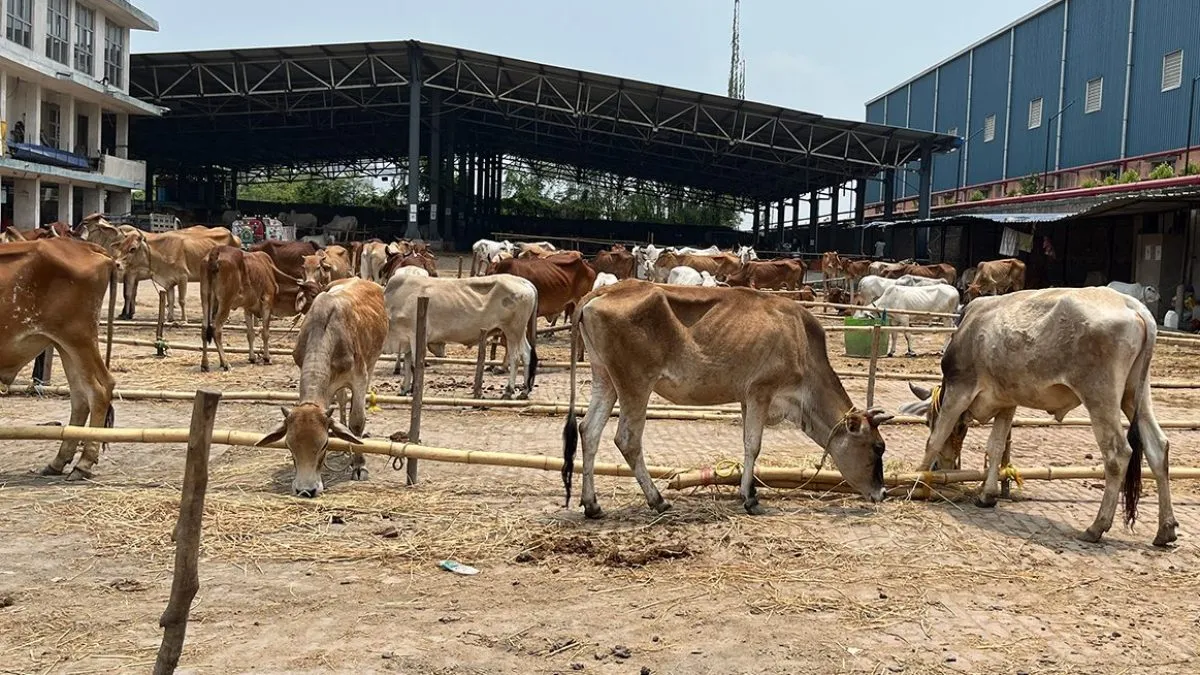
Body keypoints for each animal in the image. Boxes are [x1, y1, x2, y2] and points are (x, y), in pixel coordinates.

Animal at [0, 238, 115, 480]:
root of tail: (88, 246)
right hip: (64, 345)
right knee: (80, 396)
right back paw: (59, 462)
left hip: (78, 338)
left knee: (100, 388)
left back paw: (83, 464)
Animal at [255, 278, 388, 498]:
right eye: (288, 445)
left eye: (324, 444)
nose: (305, 490)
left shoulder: (359, 378)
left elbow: (357, 422)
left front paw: (359, 465)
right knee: (342, 400)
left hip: (372, 362)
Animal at [384, 274, 539, 399]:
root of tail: (524, 282)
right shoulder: (406, 340)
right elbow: (407, 362)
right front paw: (404, 389)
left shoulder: (416, 336)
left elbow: (414, 364)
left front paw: (413, 391)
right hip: (519, 332)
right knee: (526, 354)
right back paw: (524, 391)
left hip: (512, 331)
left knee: (515, 357)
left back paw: (509, 391)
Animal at [561, 280, 893, 516]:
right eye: (877, 447)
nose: (883, 493)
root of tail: (604, 290)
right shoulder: (761, 390)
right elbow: (753, 445)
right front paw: (749, 499)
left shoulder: (747, 397)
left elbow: (747, 445)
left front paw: (749, 492)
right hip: (636, 383)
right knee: (627, 439)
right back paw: (657, 500)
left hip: (605, 378)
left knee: (589, 430)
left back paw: (592, 505)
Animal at [897, 287, 1177, 547]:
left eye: (927, 421)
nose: (941, 468)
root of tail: (1133, 306)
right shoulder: (1007, 402)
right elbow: (995, 447)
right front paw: (987, 495)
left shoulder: (960, 390)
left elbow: (935, 439)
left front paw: (916, 482)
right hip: (1134, 394)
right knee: (1158, 447)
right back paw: (1166, 529)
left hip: (1100, 396)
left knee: (1118, 454)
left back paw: (1096, 527)